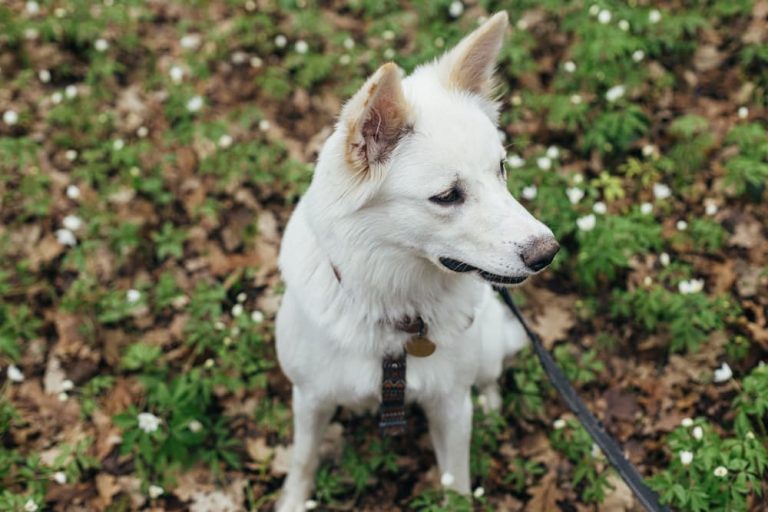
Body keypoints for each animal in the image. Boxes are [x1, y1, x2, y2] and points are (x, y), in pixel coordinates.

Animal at [276, 11, 560, 508]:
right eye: (447, 196)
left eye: (501, 169)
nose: (547, 252)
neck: (397, 312)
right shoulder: (310, 399)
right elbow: (303, 459)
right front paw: (294, 499)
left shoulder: (450, 408)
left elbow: (457, 484)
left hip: (485, 351)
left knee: (489, 376)